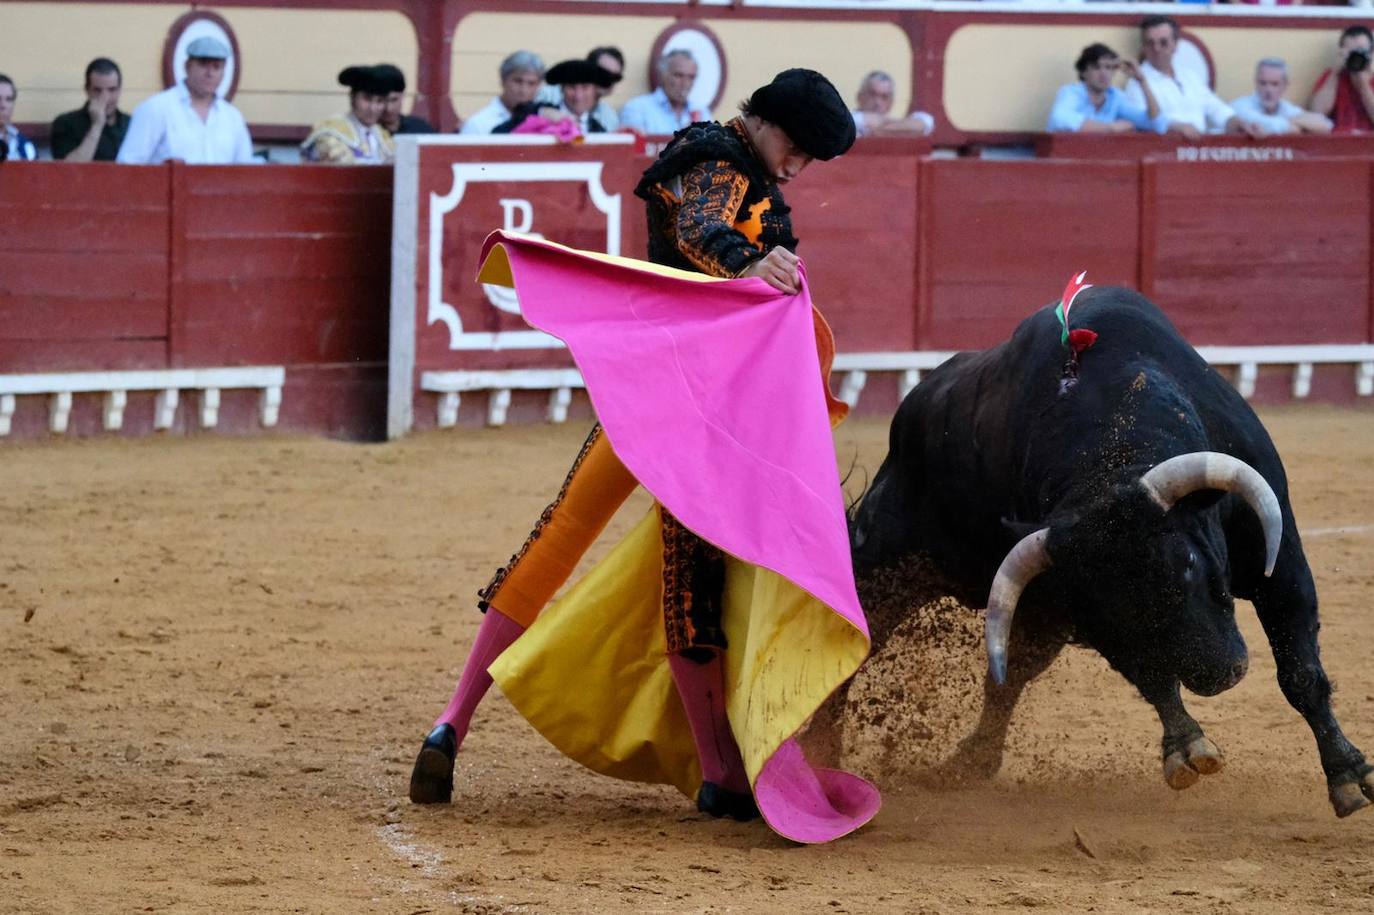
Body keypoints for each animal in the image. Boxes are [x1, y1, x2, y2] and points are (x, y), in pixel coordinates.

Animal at [846, 285, 1374, 813]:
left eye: (1187, 563)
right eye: (1109, 603)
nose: (1217, 674)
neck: (1108, 457)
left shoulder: (1281, 562)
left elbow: (1301, 673)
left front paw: (1348, 775)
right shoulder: (1089, 616)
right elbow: (1150, 672)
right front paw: (1186, 745)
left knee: (1008, 679)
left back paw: (971, 761)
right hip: (882, 561)